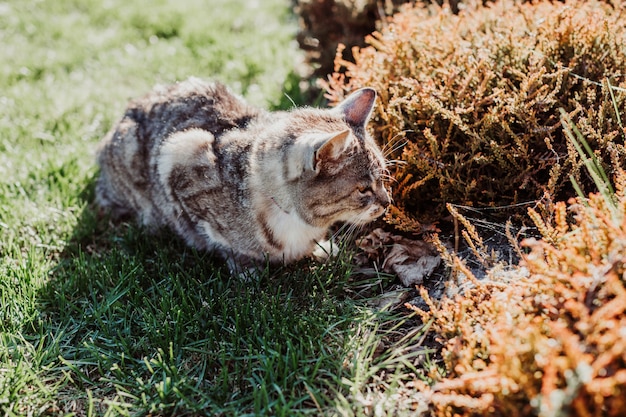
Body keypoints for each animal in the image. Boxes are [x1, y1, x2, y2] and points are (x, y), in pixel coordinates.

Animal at [95, 77, 388, 272]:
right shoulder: (179, 155)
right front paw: (244, 264)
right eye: (363, 189)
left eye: (384, 177)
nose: (387, 203)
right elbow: (210, 234)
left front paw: (320, 248)